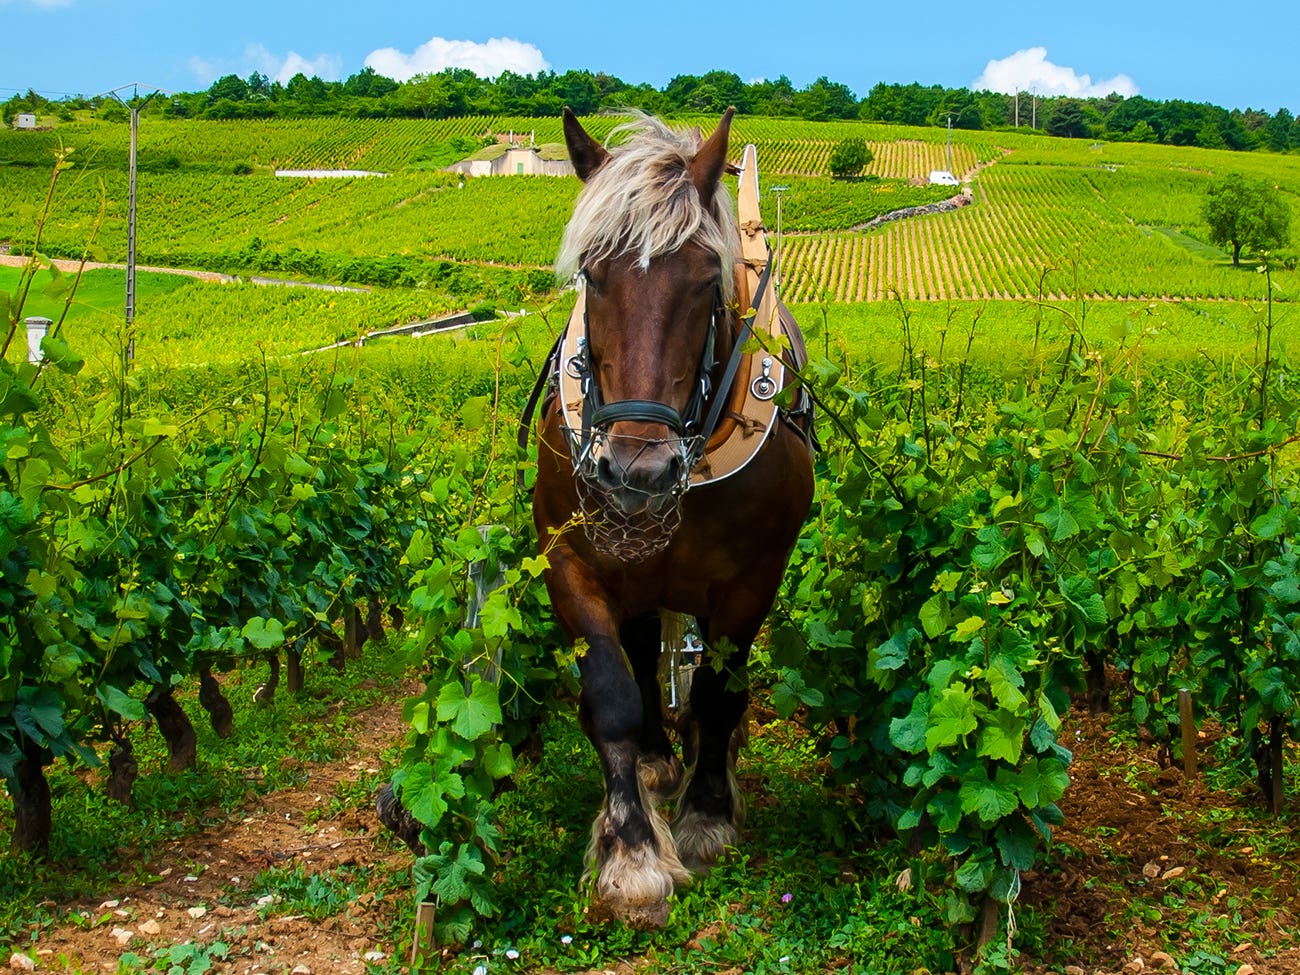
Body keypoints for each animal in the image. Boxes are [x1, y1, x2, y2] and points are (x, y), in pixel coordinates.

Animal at [527, 110, 811, 925]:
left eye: (705, 279)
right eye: (592, 273)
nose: (638, 472)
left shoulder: (753, 580)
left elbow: (719, 689)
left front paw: (708, 811)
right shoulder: (572, 562)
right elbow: (613, 694)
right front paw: (631, 852)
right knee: (642, 650)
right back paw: (657, 754)